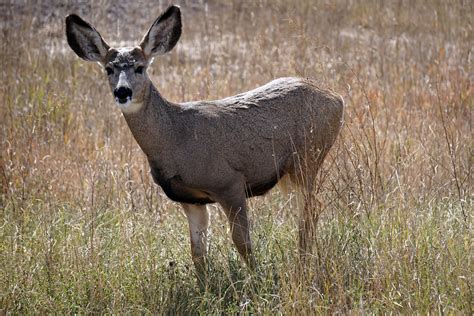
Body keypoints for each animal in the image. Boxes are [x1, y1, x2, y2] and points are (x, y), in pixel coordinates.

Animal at [64, 4, 344, 280]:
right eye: (109, 69)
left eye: (140, 67)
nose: (122, 92)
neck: (176, 138)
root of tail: (337, 98)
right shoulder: (191, 199)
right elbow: (197, 251)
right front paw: (204, 286)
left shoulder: (229, 182)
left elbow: (241, 241)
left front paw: (257, 281)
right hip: (289, 172)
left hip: (307, 157)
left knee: (311, 209)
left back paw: (301, 268)